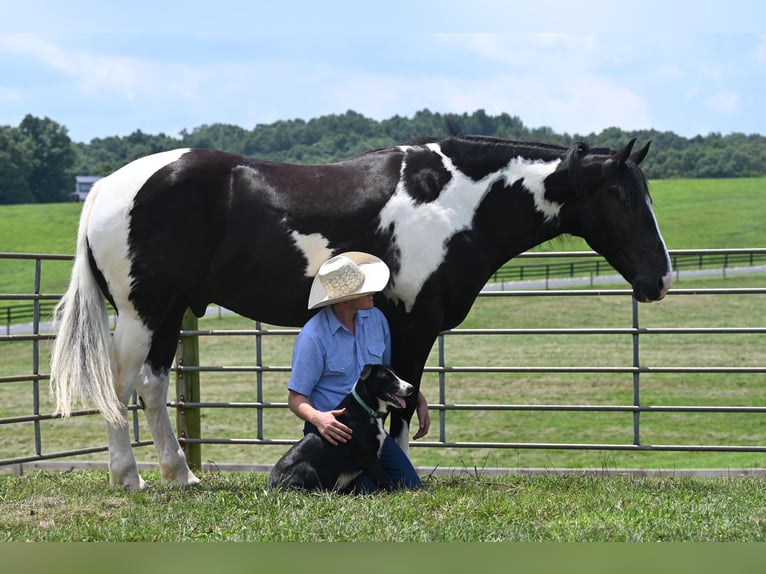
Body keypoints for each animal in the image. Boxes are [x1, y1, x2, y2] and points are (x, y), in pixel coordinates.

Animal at [270, 366, 414, 492]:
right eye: (389, 378)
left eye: (396, 375)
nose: (412, 388)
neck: (366, 409)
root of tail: (271, 486)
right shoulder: (368, 458)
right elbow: (385, 481)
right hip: (305, 467)